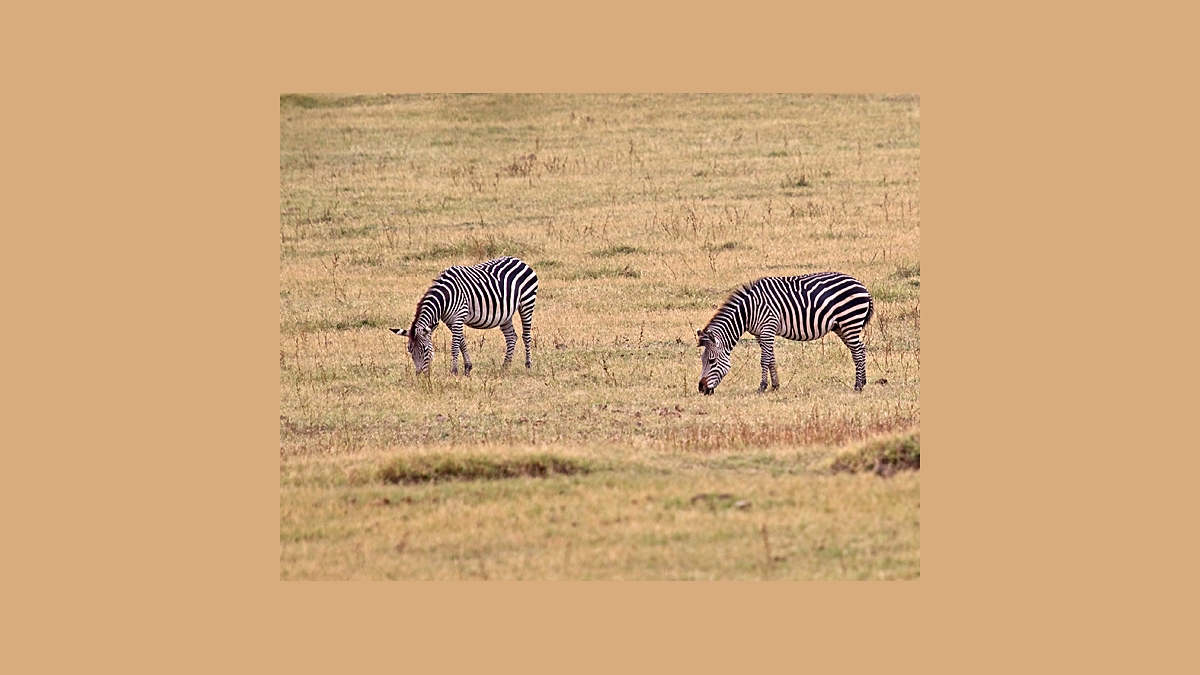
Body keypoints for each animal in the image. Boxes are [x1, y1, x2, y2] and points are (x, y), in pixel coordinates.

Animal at [390, 256, 537, 376]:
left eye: (425, 350)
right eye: (410, 350)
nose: (420, 375)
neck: (445, 297)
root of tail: (519, 260)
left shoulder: (458, 317)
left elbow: (455, 346)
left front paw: (454, 371)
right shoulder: (450, 321)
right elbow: (462, 342)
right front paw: (467, 367)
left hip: (527, 303)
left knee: (526, 335)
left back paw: (528, 364)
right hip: (505, 313)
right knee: (511, 337)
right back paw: (505, 366)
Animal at [696, 272, 874, 395]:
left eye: (712, 361)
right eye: (702, 361)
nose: (701, 389)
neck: (748, 312)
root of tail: (862, 287)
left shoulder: (768, 328)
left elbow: (764, 360)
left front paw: (762, 387)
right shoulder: (760, 334)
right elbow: (771, 359)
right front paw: (775, 386)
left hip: (850, 322)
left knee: (858, 351)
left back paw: (858, 386)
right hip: (841, 326)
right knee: (860, 349)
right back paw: (863, 381)